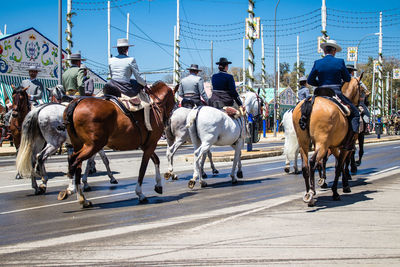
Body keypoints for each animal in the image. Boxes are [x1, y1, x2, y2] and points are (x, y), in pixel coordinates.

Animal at [60, 80, 175, 208]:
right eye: (174, 102)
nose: (167, 121)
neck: (154, 106)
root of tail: (77, 102)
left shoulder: (146, 145)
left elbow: (156, 160)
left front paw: (158, 185)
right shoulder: (151, 145)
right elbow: (143, 168)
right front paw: (140, 193)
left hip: (80, 144)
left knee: (77, 165)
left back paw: (82, 198)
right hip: (93, 145)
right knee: (74, 160)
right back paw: (72, 189)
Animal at [292, 75, 364, 207]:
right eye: (361, 89)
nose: (362, 105)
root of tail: (311, 100)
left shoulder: (334, 146)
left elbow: (338, 163)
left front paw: (344, 184)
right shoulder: (344, 147)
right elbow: (339, 166)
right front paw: (337, 191)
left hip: (303, 143)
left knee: (306, 166)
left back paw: (309, 193)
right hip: (322, 144)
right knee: (313, 162)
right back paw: (312, 194)